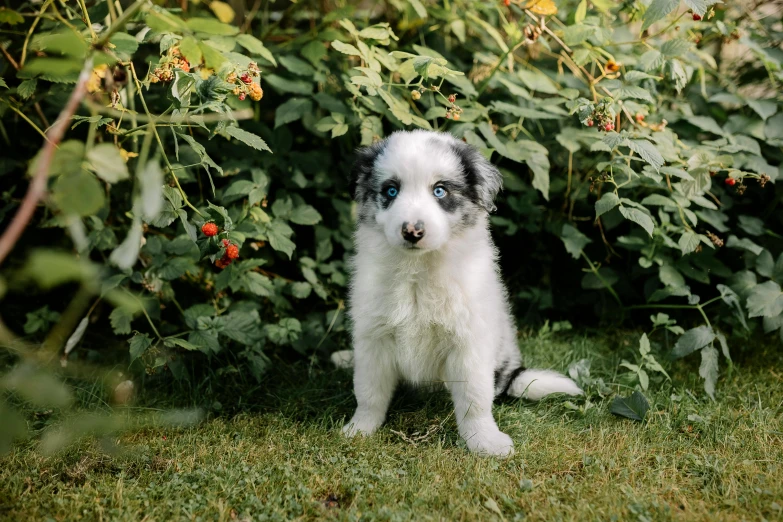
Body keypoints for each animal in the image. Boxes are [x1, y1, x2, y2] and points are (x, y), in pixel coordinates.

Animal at [344, 130, 580, 456]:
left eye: (440, 191)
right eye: (391, 191)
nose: (412, 231)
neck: (418, 272)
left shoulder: (469, 342)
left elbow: (474, 398)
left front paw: (485, 441)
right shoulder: (373, 337)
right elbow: (369, 391)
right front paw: (360, 429)